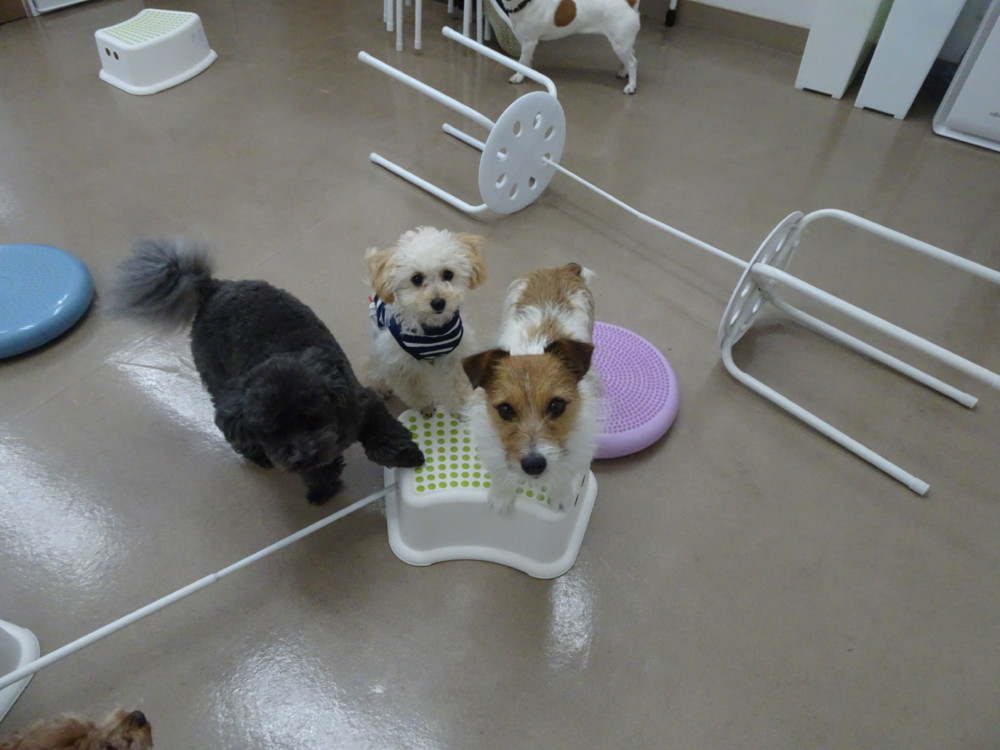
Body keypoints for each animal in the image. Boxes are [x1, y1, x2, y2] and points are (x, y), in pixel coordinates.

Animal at [109, 238, 424, 504]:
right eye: (273, 432)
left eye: (312, 417)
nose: (304, 454)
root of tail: (212, 288)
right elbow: (319, 470)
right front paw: (323, 486)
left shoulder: (362, 404)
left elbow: (384, 435)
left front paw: (408, 455)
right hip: (217, 381)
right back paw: (256, 455)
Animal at [364, 227, 486, 418]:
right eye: (416, 278)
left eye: (448, 274)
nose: (438, 302)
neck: (432, 331)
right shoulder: (400, 364)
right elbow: (414, 389)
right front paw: (425, 405)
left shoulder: (455, 356)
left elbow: (458, 384)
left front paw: (462, 408)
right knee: (373, 368)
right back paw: (379, 386)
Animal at [462, 263, 599, 514]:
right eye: (505, 410)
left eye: (557, 405)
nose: (533, 464)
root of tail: (561, 269)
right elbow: (501, 471)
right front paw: (502, 496)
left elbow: (563, 473)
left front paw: (561, 497)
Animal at [498, 0, 641, 94]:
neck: (526, 4)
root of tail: (629, 3)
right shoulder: (525, 43)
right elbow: (528, 60)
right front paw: (528, 72)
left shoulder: (529, 42)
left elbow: (522, 61)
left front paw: (519, 76)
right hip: (624, 43)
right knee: (631, 55)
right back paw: (623, 72)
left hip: (619, 44)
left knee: (633, 62)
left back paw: (631, 86)